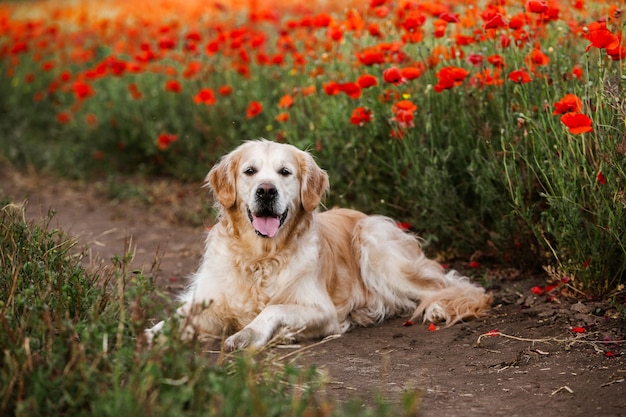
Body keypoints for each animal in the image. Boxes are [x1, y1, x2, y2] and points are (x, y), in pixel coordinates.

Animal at [145, 139, 488, 348]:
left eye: (285, 172)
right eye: (249, 171)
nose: (266, 191)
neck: (260, 258)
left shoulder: (321, 310)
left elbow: (273, 309)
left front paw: (249, 334)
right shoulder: (210, 300)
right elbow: (176, 319)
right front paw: (149, 334)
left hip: (374, 245)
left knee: (459, 288)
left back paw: (438, 308)